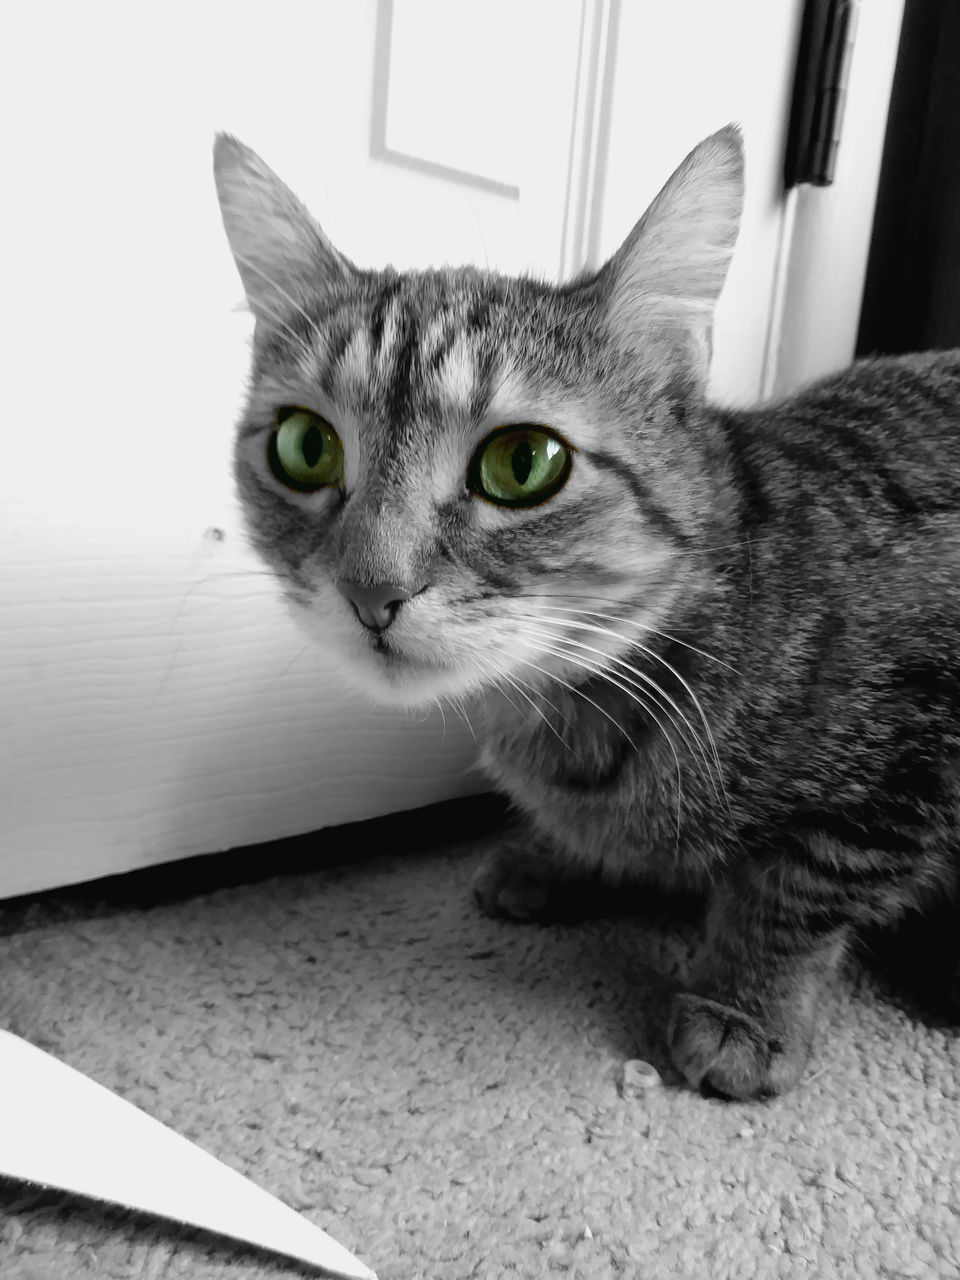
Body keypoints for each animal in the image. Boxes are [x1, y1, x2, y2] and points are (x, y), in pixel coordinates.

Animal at [213, 122, 957, 1100]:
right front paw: (552, 857)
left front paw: (744, 1007)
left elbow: (794, 892)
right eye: (305, 447)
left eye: (523, 463)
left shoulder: (902, 764)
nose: (371, 590)